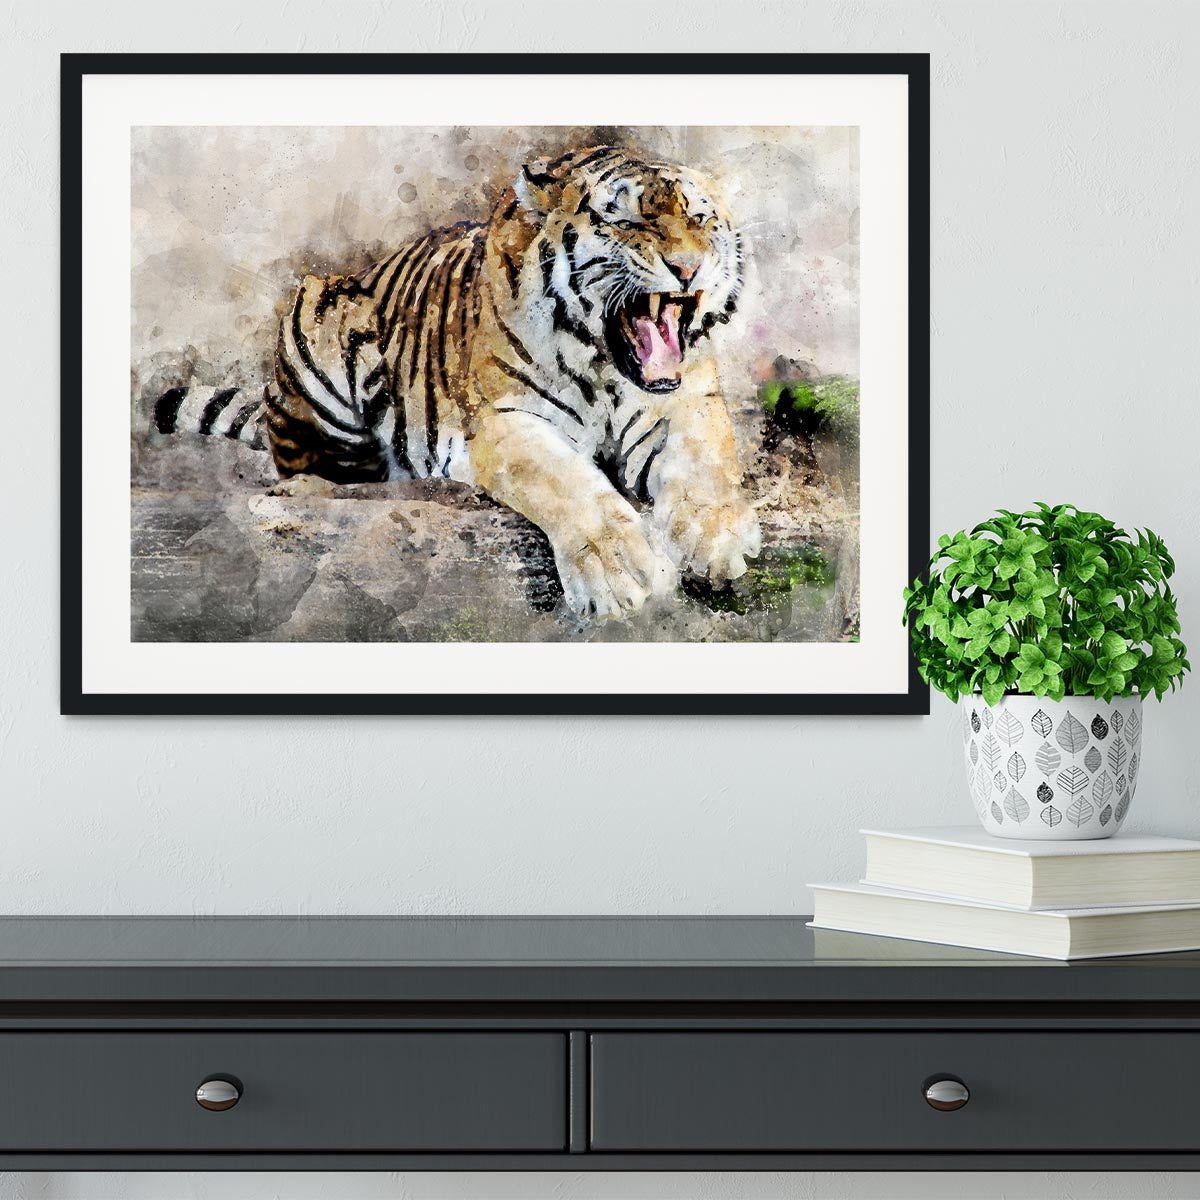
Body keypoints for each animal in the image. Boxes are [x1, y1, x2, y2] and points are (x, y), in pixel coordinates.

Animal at [154, 146, 761, 618]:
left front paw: (716, 538)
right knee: (322, 466)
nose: (688, 267)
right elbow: (568, 484)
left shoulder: (687, 402)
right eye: (627, 221)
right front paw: (622, 572)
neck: (606, 366)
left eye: (701, 219)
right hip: (317, 316)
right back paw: (308, 489)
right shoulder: (508, 422)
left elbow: (707, 464)